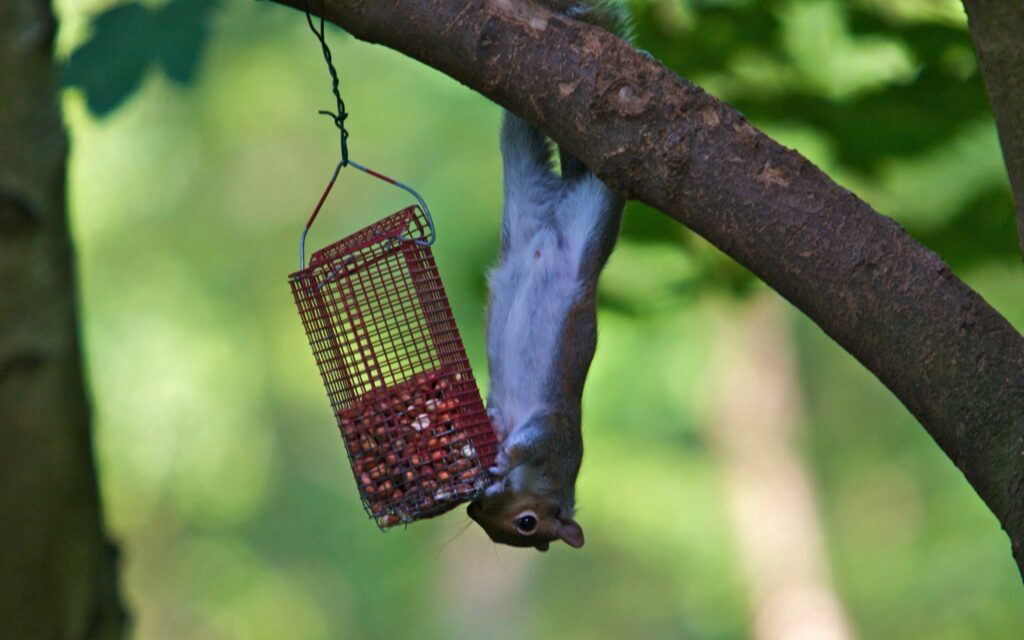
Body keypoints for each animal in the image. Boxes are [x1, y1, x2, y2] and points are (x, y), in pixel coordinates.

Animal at [467, 0, 632, 552]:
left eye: (522, 528)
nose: (473, 507)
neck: (554, 477)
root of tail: (551, 220)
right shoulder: (557, 437)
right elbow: (526, 441)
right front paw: (501, 451)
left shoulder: (549, 432)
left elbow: (519, 434)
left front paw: (497, 440)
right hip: (594, 209)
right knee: (600, 173)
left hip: (526, 192)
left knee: (520, 128)